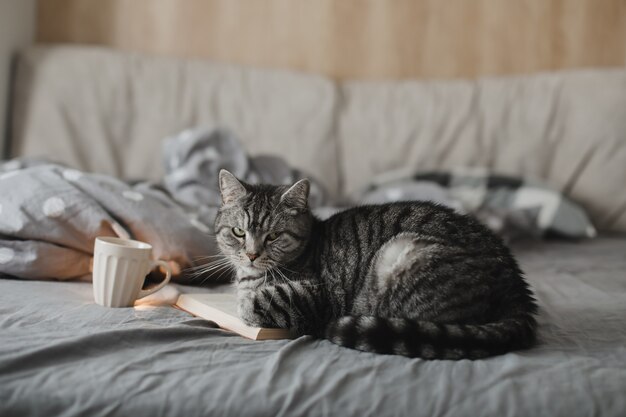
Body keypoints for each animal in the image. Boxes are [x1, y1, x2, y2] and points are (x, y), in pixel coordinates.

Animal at [214, 169, 536, 358]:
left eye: (274, 235)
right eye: (239, 232)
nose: (252, 254)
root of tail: (517, 287)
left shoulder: (318, 295)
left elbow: (255, 303)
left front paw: (246, 303)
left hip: (401, 256)